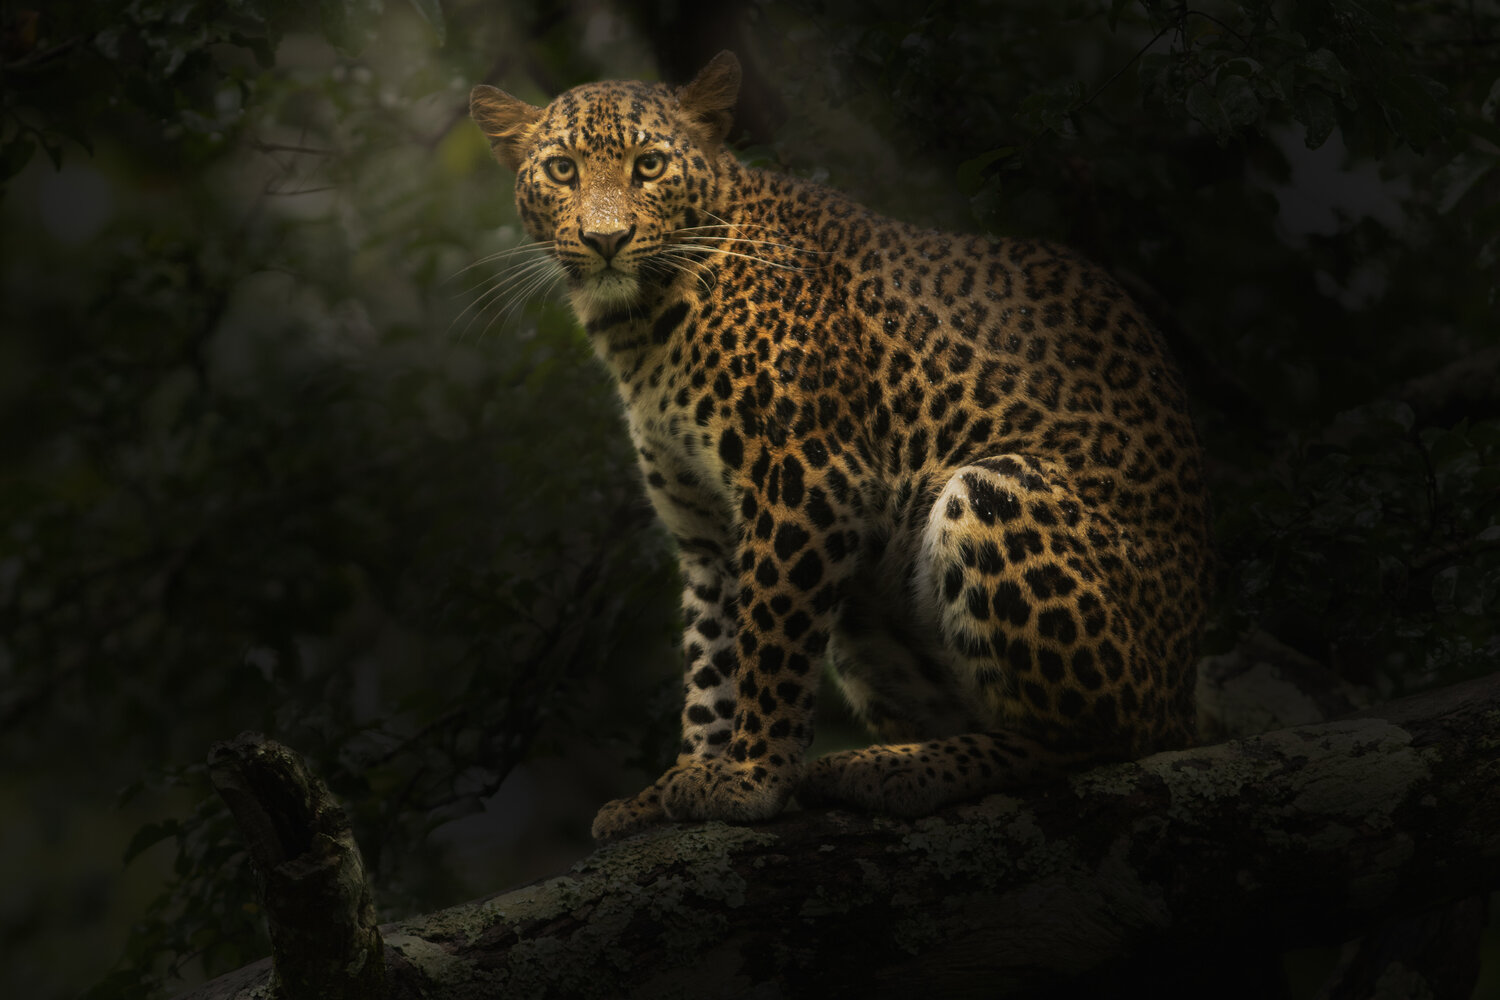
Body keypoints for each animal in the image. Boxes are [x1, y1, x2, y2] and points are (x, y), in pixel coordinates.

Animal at [469, 51, 1212, 842]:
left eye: (649, 165)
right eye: (562, 170)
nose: (605, 239)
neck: (639, 328)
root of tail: (1185, 693)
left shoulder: (804, 479)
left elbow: (769, 644)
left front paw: (753, 780)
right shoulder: (707, 534)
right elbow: (712, 662)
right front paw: (680, 781)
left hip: (996, 491)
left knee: (1095, 734)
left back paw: (898, 769)